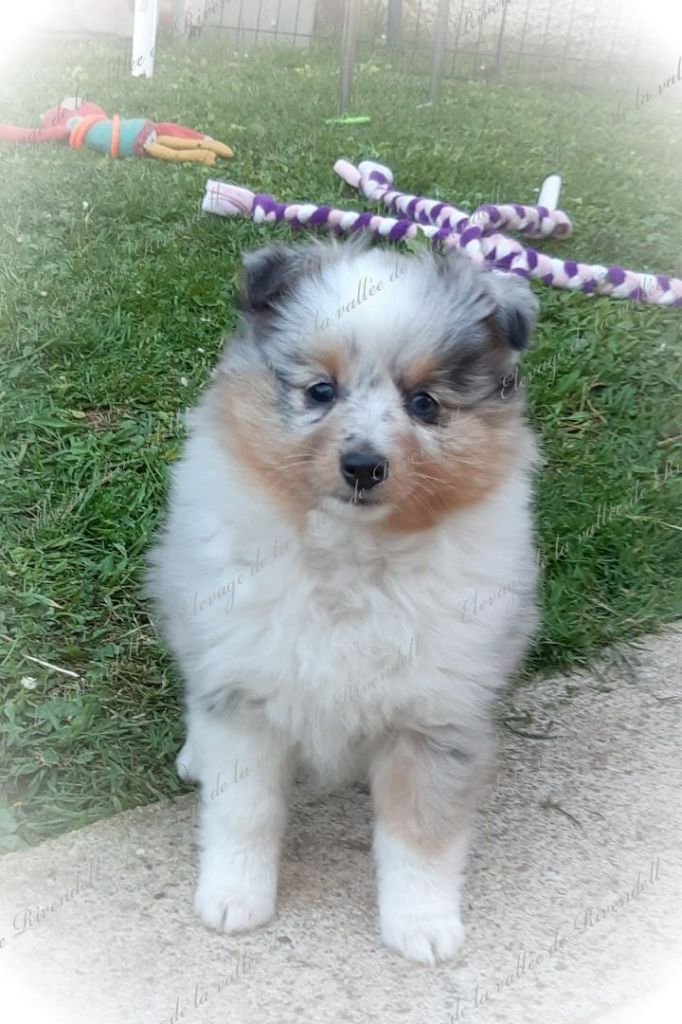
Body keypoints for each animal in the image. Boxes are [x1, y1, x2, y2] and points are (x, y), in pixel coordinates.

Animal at [147, 239, 536, 966]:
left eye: (424, 404)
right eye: (319, 392)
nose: (362, 466)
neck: (353, 556)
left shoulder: (436, 715)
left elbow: (422, 833)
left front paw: (423, 927)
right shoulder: (246, 692)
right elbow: (244, 811)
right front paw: (234, 899)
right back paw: (194, 756)